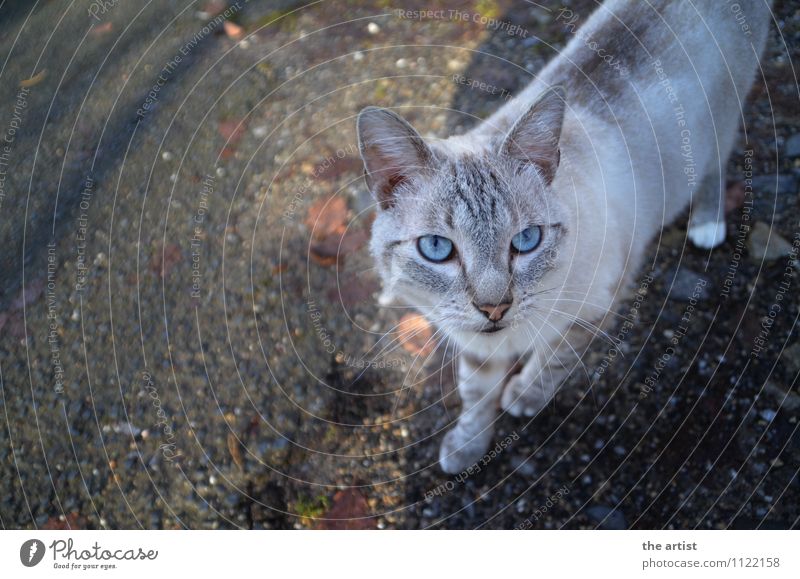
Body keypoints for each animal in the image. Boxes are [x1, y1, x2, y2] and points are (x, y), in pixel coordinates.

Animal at [354, 0, 768, 474]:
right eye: (437, 248)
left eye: (527, 241)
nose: (494, 308)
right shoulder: (475, 343)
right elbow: (475, 395)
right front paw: (466, 449)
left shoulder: (593, 310)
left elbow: (550, 362)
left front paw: (523, 398)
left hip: (718, 127)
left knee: (719, 161)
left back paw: (706, 225)